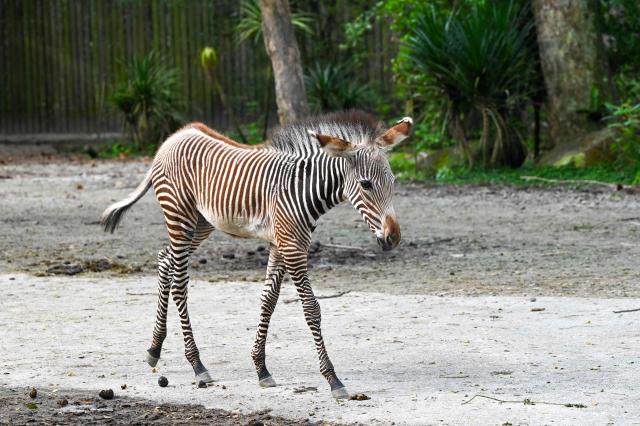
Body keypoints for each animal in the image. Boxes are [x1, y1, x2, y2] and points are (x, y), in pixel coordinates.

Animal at [100, 110, 412, 399]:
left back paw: (154, 349)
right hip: (180, 216)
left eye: (393, 181)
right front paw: (333, 380)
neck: (302, 190)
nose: (393, 238)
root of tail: (175, 136)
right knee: (179, 282)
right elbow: (311, 309)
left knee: (165, 260)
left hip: (202, 223)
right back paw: (197, 364)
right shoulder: (293, 247)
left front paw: (261, 368)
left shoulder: (281, 244)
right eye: (366, 184)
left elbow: (268, 301)